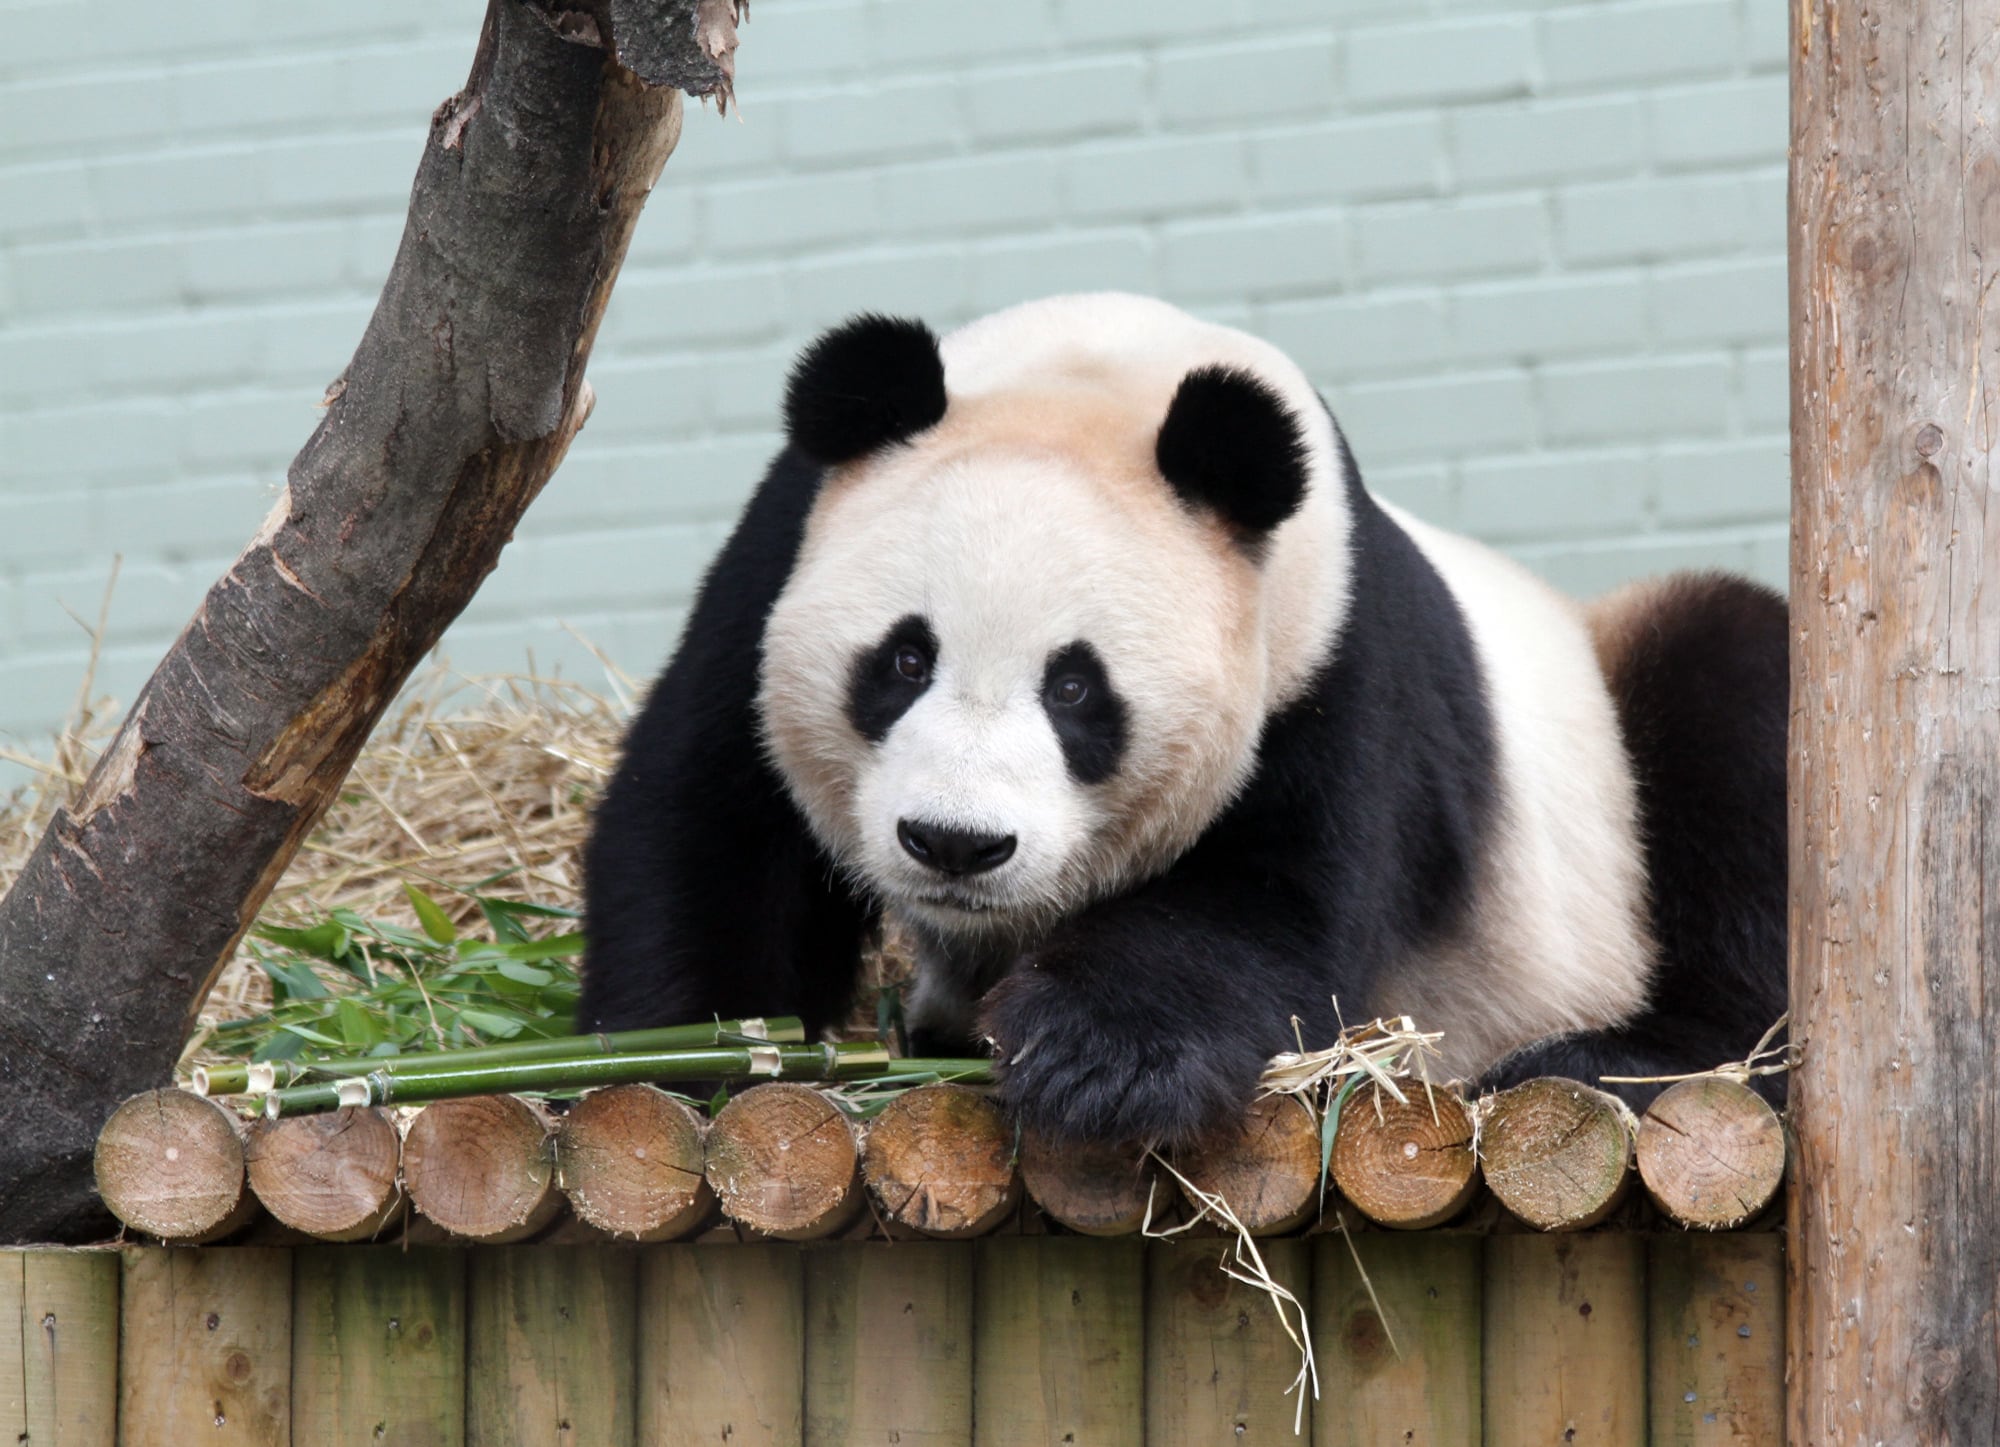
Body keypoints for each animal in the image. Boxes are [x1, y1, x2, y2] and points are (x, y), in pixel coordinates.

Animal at [579, 293, 1787, 1147]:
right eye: (903, 660)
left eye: (1076, 689)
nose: (954, 844)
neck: (1104, 373)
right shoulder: (775, 559)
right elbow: (709, 821)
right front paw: (705, 1049)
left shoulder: (1328, 655)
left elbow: (1270, 901)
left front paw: (1096, 1064)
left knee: (1738, 721)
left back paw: (1602, 1059)